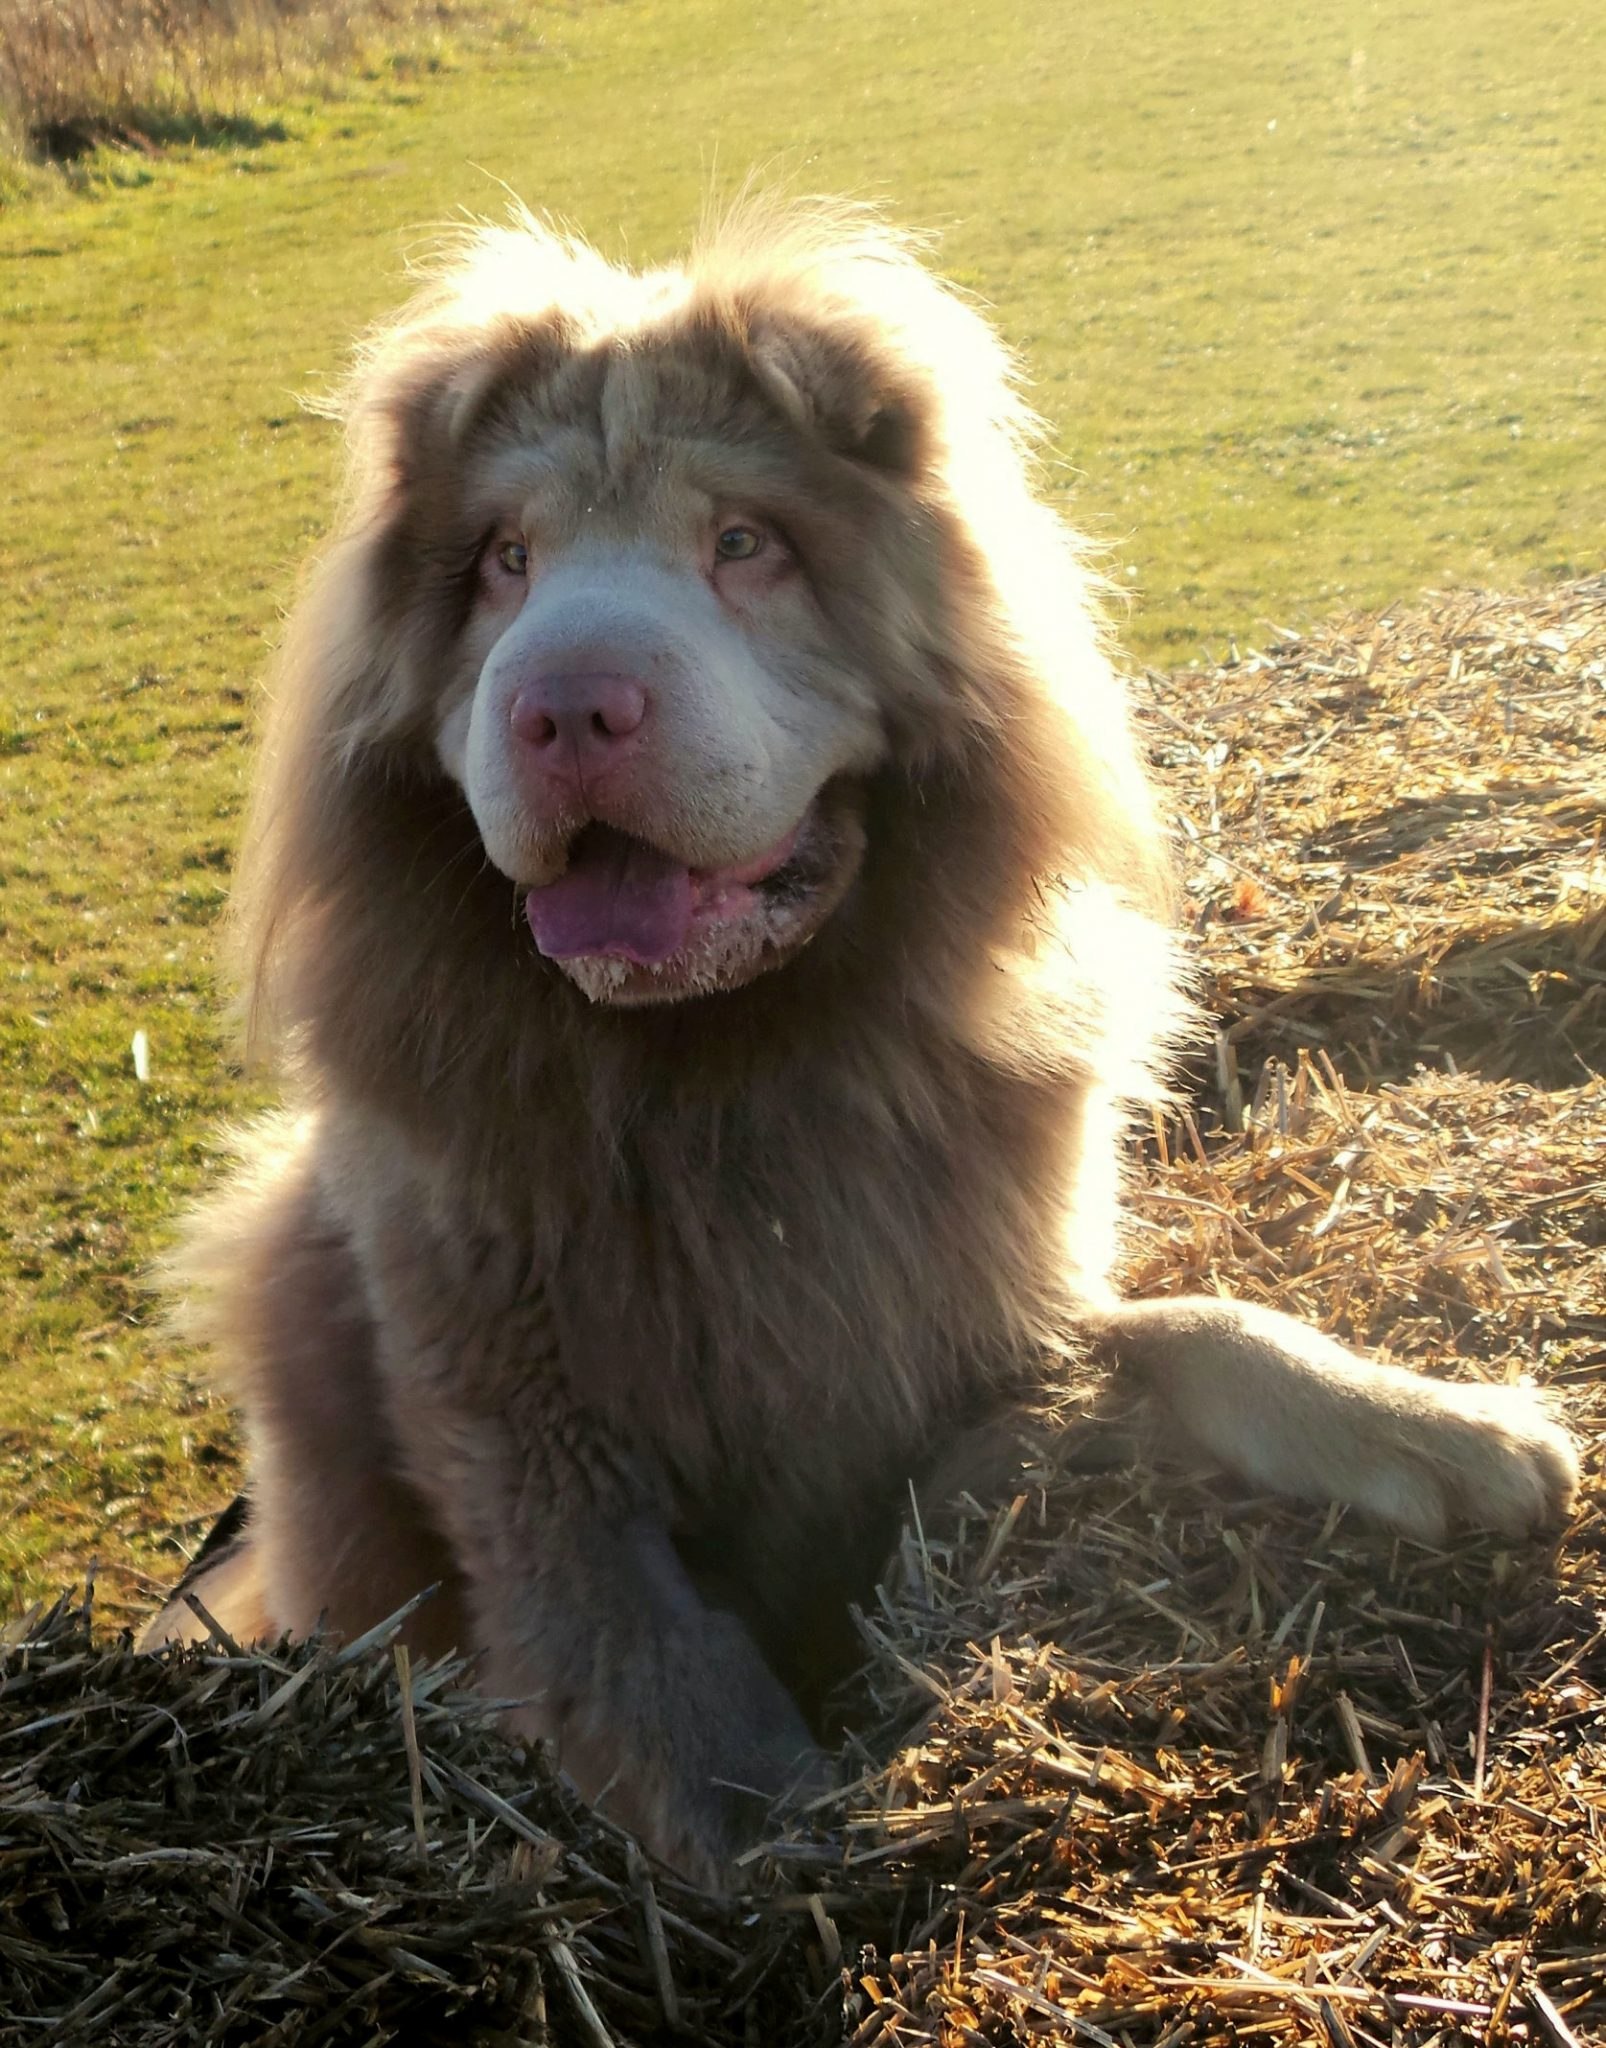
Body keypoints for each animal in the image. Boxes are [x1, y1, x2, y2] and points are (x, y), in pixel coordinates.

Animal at [150, 203, 1581, 1884]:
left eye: (743, 545)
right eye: (505, 563)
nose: (565, 709)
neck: (721, 1083)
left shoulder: (955, 1322)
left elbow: (1185, 1322)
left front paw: (1436, 1424)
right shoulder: (531, 1454)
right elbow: (649, 1663)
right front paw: (795, 1851)